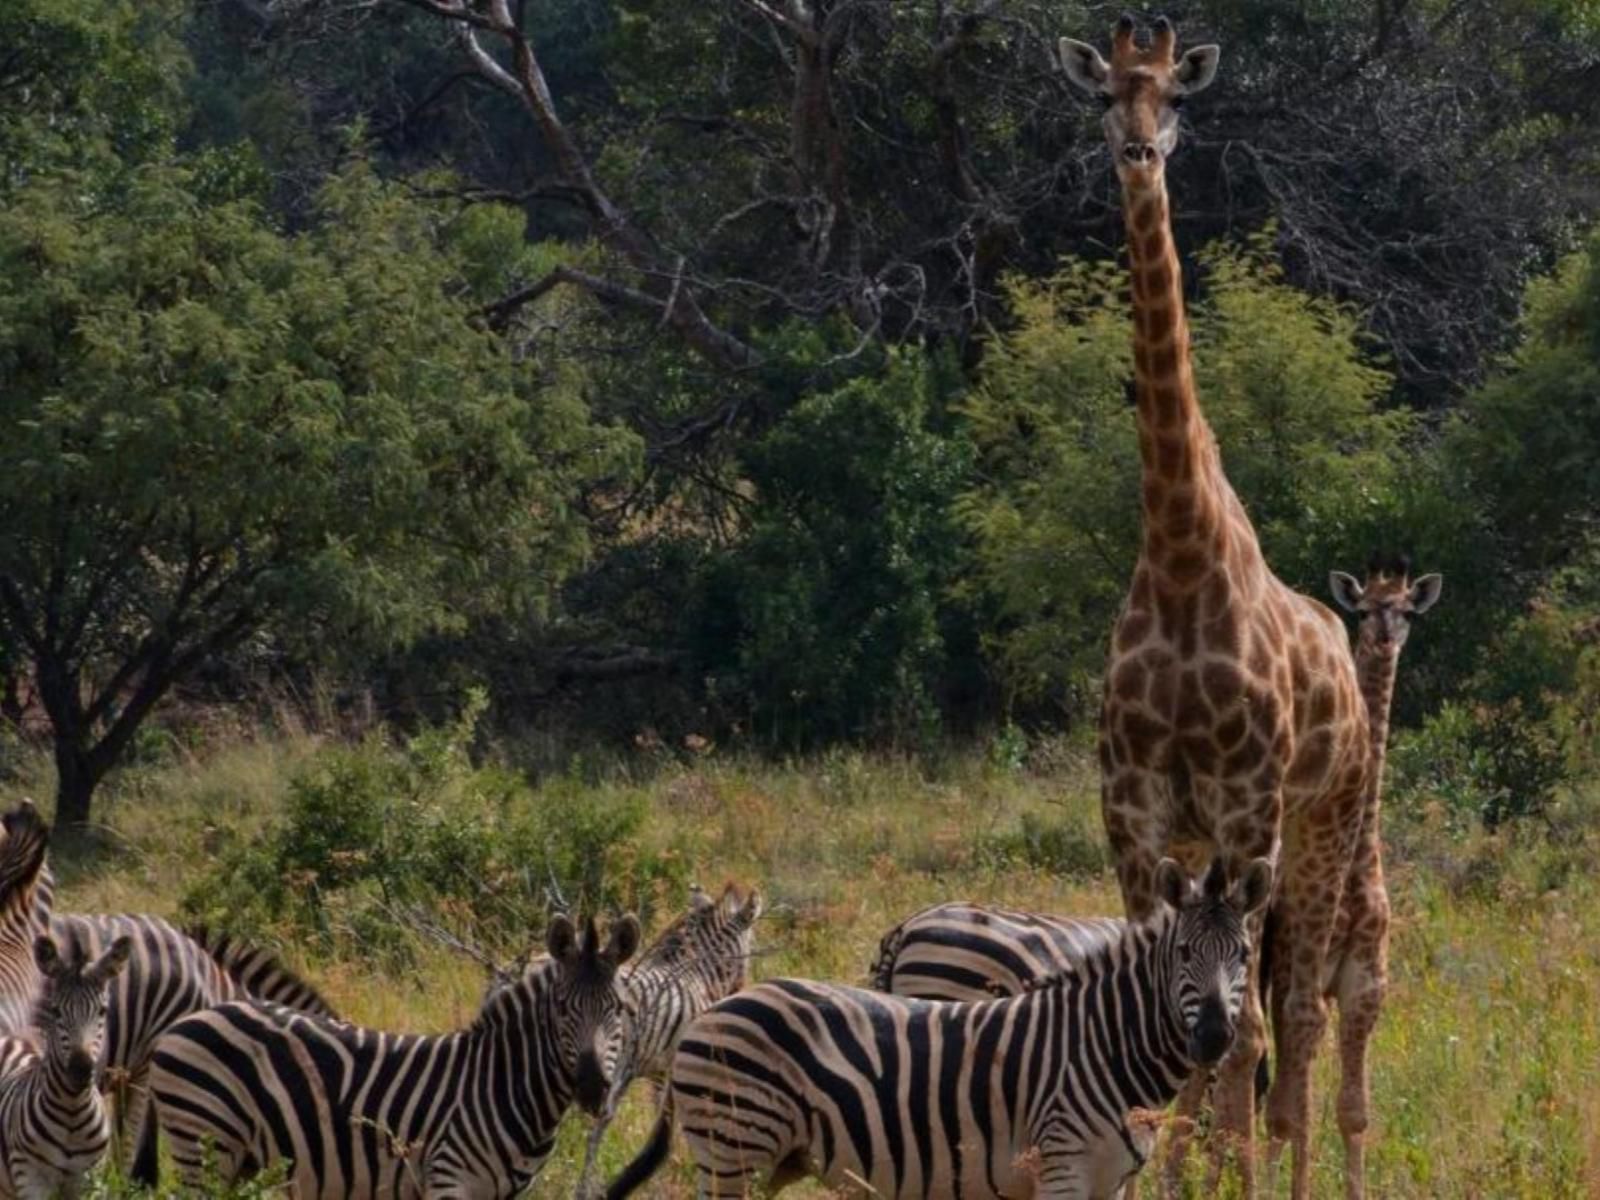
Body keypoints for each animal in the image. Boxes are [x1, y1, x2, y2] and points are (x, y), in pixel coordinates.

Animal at [0, 940, 131, 1200]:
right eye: (56, 1011)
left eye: (102, 1011)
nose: (80, 1070)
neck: (73, 1111)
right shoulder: (30, 1177)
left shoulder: (89, 1180)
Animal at [148, 915, 636, 1196]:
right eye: (562, 1010)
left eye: (619, 1009)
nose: (593, 1087)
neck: (503, 1084)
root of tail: (198, 1015)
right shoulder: (448, 1178)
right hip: (203, 1141)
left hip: (239, 1158)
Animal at [604, 857, 1267, 1200]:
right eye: (1183, 953)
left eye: (1244, 955)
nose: (1214, 1038)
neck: (1106, 1048)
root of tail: (710, 1015)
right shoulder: (1061, 1167)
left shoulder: (1115, 1183)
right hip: (732, 1147)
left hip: (760, 1159)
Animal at [1062, 16, 1376, 1200]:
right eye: (1105, 94)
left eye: (1177, 98)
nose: (1139, 152)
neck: (1183, 560)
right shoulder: (1134, 809)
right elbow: (1166, 1006)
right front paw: (1159, 1164)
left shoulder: (1247, 811)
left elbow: (1238, 1034)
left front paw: (1222, 1173)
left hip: (1322, 833)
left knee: (1297, 1020)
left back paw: (1287, 1166)